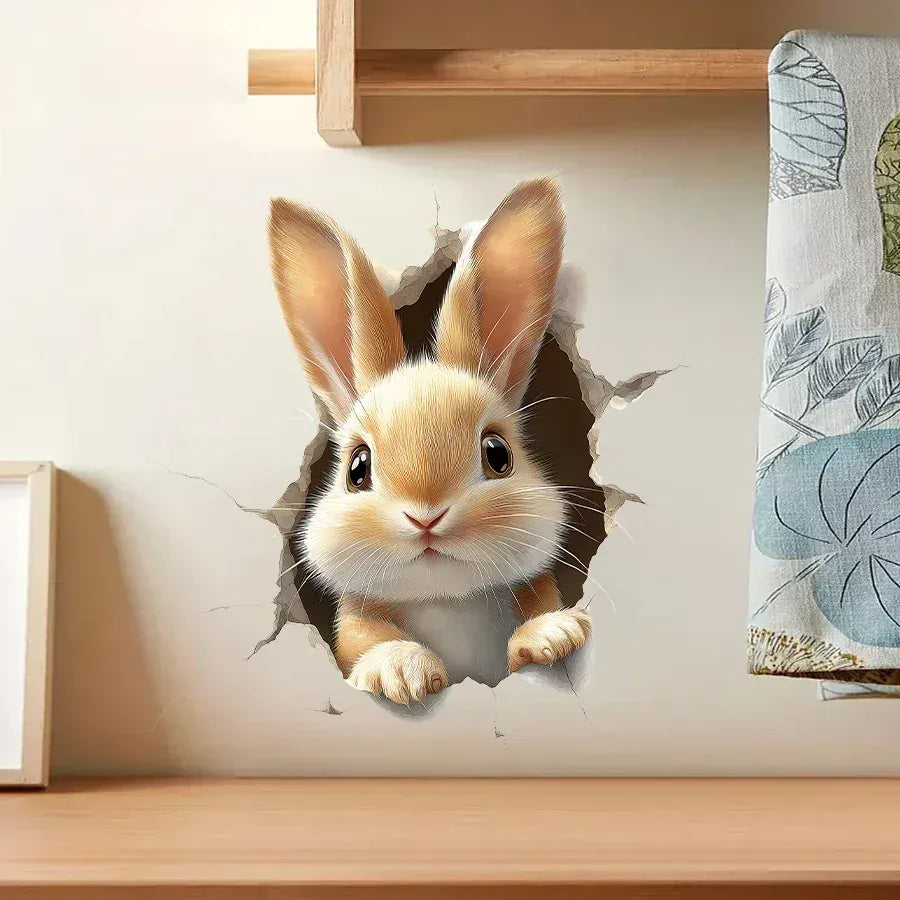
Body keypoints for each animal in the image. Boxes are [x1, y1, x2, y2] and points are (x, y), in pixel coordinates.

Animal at [268, 177, 591, 704]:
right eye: (357, 468)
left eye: (498, 455)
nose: (426, 516)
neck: (445, 599)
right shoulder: (356, 620)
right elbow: (365, 641)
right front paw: (401, 672)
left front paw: (553, 635)